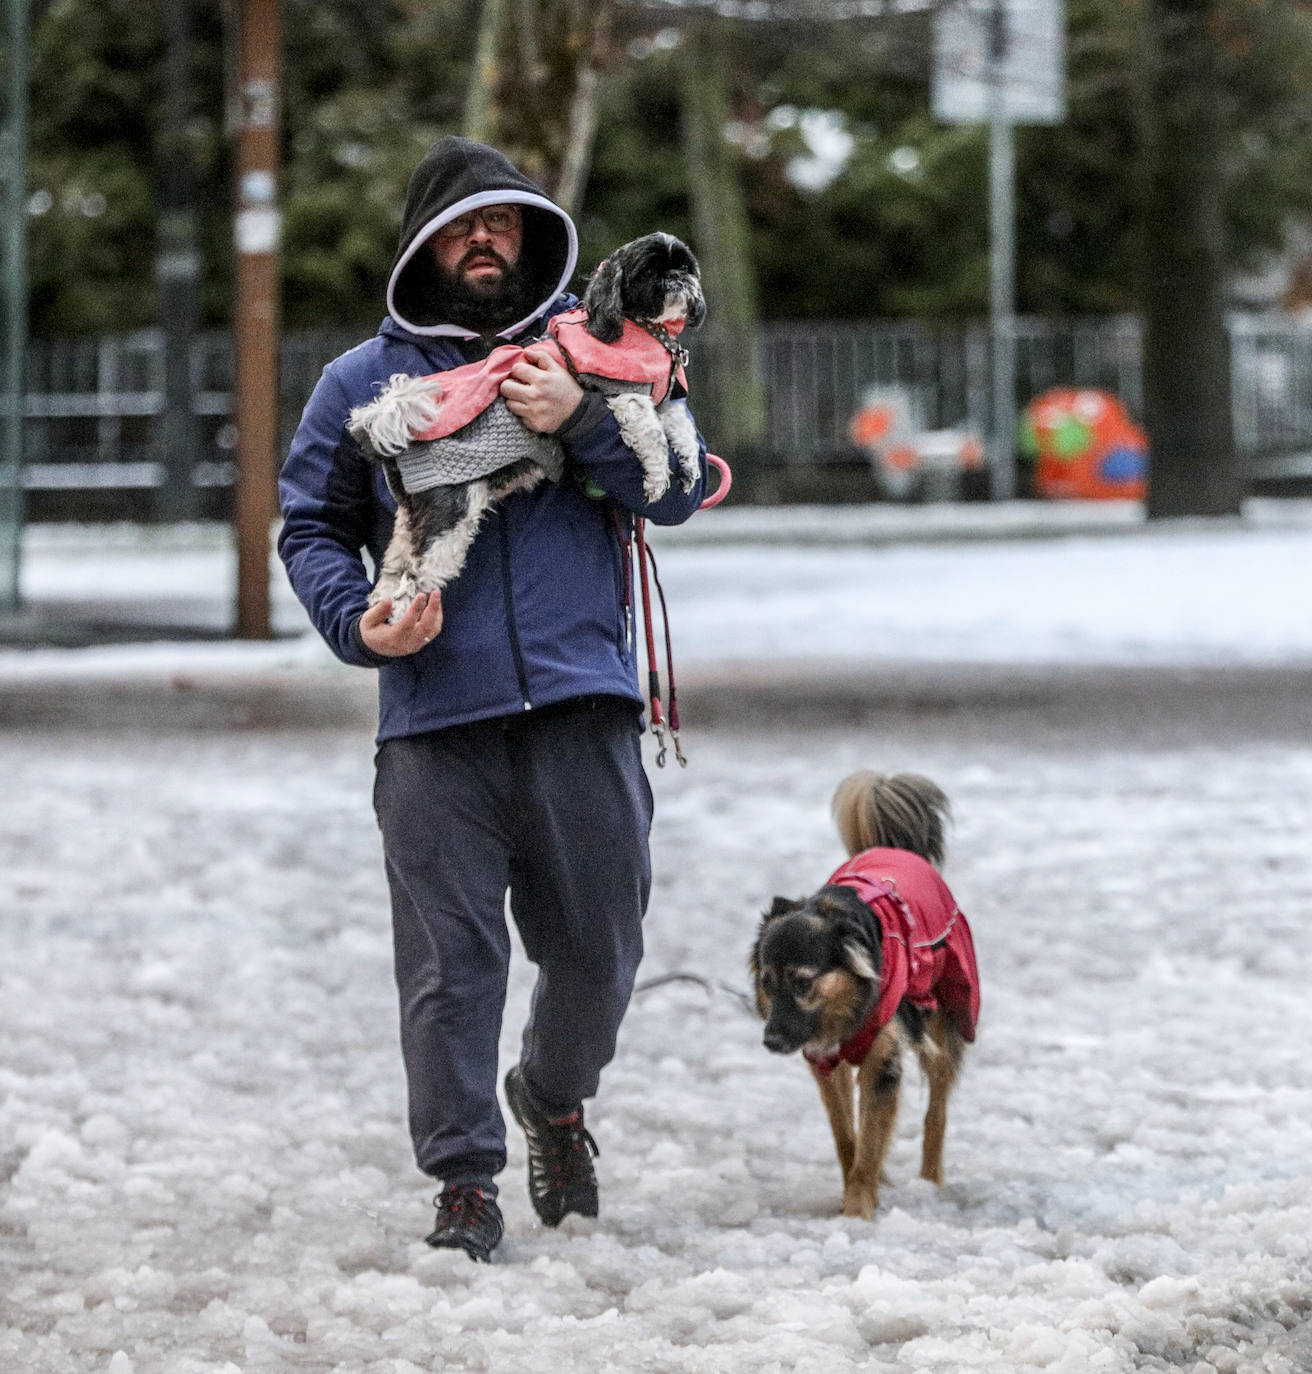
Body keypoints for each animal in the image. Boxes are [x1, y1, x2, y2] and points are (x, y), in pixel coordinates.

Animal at [343, 233, 703, 615]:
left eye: (685, 266)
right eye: (648, 271)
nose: (676, 277)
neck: (647, 331)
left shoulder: (665, 401)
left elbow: (681, 428)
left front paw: (690, 470)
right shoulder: (624, 395)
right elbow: (653, 436)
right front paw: (657, 478)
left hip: (411, 521)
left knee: (391, 571)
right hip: (449, 519)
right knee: (411, 580)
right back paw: (403, 618)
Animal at [752, 774, 978, 1225]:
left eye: (802, 983)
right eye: (768, 982)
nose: (771, 1042)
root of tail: (897, 848)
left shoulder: (883, 1061)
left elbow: (872, 1136)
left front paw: (858, 1215)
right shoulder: (824, 1059)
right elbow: (847, 1135)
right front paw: (857, 1191)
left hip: (944, 1020)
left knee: (937, 1110)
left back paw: (930, 1180)